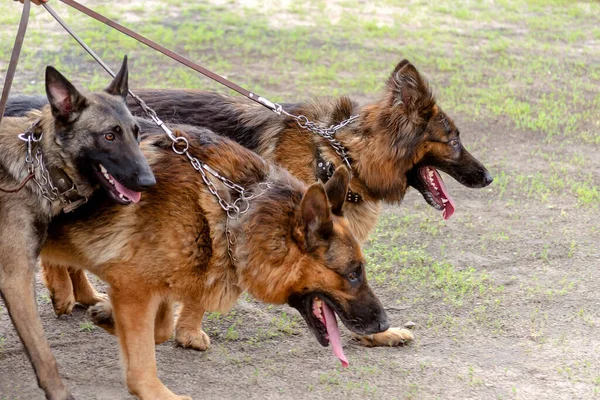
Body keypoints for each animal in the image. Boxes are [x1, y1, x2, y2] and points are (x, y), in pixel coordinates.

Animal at [11, 57, 494, 346]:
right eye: (454, 140)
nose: (489, 177)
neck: (339, 153)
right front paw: (189, 332)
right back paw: (66, 294)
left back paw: (80, 293)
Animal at [42, 123, 390, 398]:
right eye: (353, 273)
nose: (384, 324)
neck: (233, 210)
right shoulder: (133, 288)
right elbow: (143, 354)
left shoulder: (151, 284)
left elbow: (161, 328)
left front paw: (109, 318)